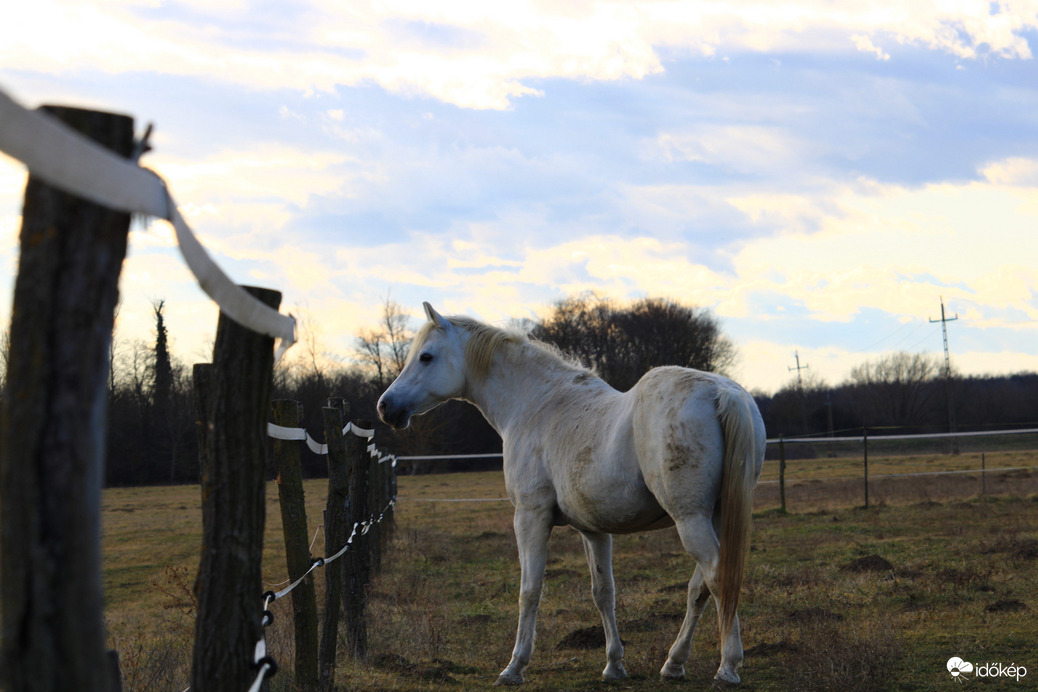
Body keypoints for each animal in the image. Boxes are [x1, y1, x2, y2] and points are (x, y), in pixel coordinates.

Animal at [377, 305, 768, 688]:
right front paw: (613, 665)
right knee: (700, 587)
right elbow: (603, 592)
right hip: (712, 516)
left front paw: (514, 667)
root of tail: (724, 393)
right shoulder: (593, 530)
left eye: (426, 357)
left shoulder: (530, 516)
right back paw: (673, 664)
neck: (537, 405)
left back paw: (728, 667)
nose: (385, 407)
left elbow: (530, 591)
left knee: (717, 578)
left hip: (690, 518)